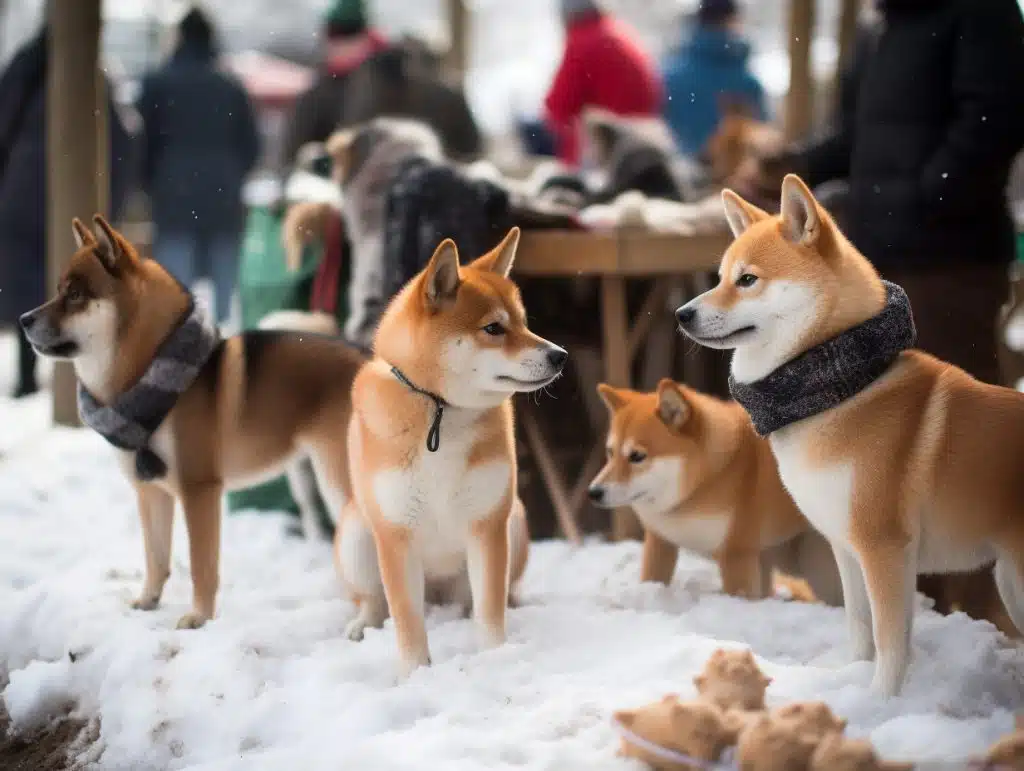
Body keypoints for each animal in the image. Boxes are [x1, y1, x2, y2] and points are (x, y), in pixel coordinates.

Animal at [19, 217, 366, 630]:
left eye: (75, 295)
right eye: (59, 290)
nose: (23, 320)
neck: (149, 376)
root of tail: (378, 362)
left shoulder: (199, 490)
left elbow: (202, 565)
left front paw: (199, 617)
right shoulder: (151, 491)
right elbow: (156, 558)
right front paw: (148, 601)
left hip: (339, 482)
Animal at [339, 225, 573, 671]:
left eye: (524, 322)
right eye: (494, 329)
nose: (560, 355)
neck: (441, 411)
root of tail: (439, 598)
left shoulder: (487, 526)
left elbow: (490, 612)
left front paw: (496, 659)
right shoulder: (395, 535)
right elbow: (407, 622)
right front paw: (416, 674)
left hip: (514, 521)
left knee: (484, 600)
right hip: (357, 536)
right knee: (374, 601)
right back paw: (361, 625)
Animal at [585, 376, 839, 606]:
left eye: (637, 456)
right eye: (610, 452)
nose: (593, 492)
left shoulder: (736, 554)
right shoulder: (661, 542)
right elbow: (652, 579)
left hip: (818, 569)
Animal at [675, 174, 1024, 696]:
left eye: (748, 279)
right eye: (718, 277)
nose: (682, 314)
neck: (841, 389)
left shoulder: (884, 548)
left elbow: (889, 638)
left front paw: (881, 700)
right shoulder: (846, 546)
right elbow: (861, 627)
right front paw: (850, 680)